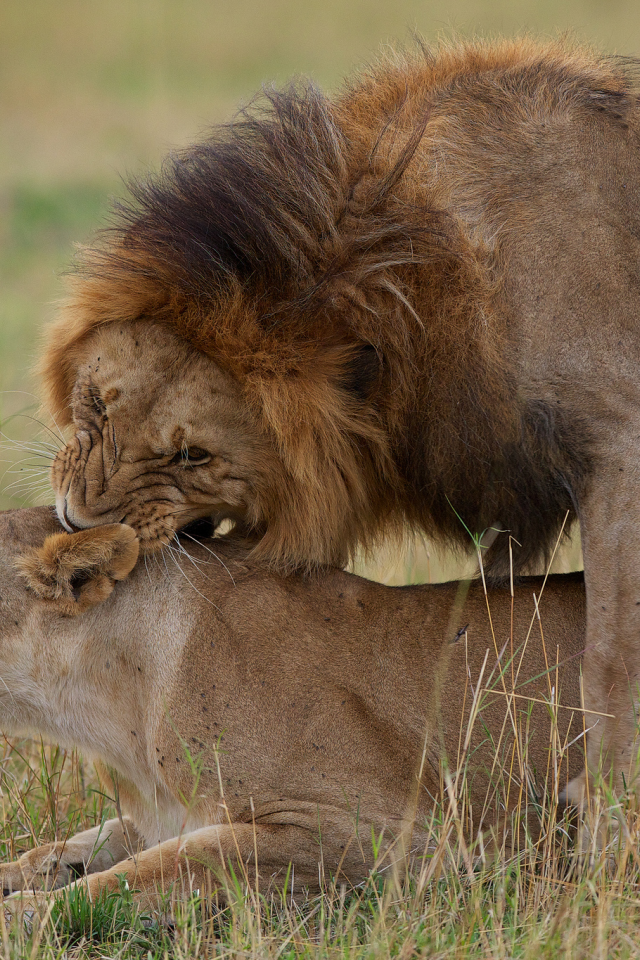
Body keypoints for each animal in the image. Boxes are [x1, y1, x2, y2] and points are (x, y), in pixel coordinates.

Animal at [41, 39, 640, 796]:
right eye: (95, 403)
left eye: (193, 456)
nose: (75, 525)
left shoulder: (620, 444)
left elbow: (610, 658)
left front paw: (605, 810)